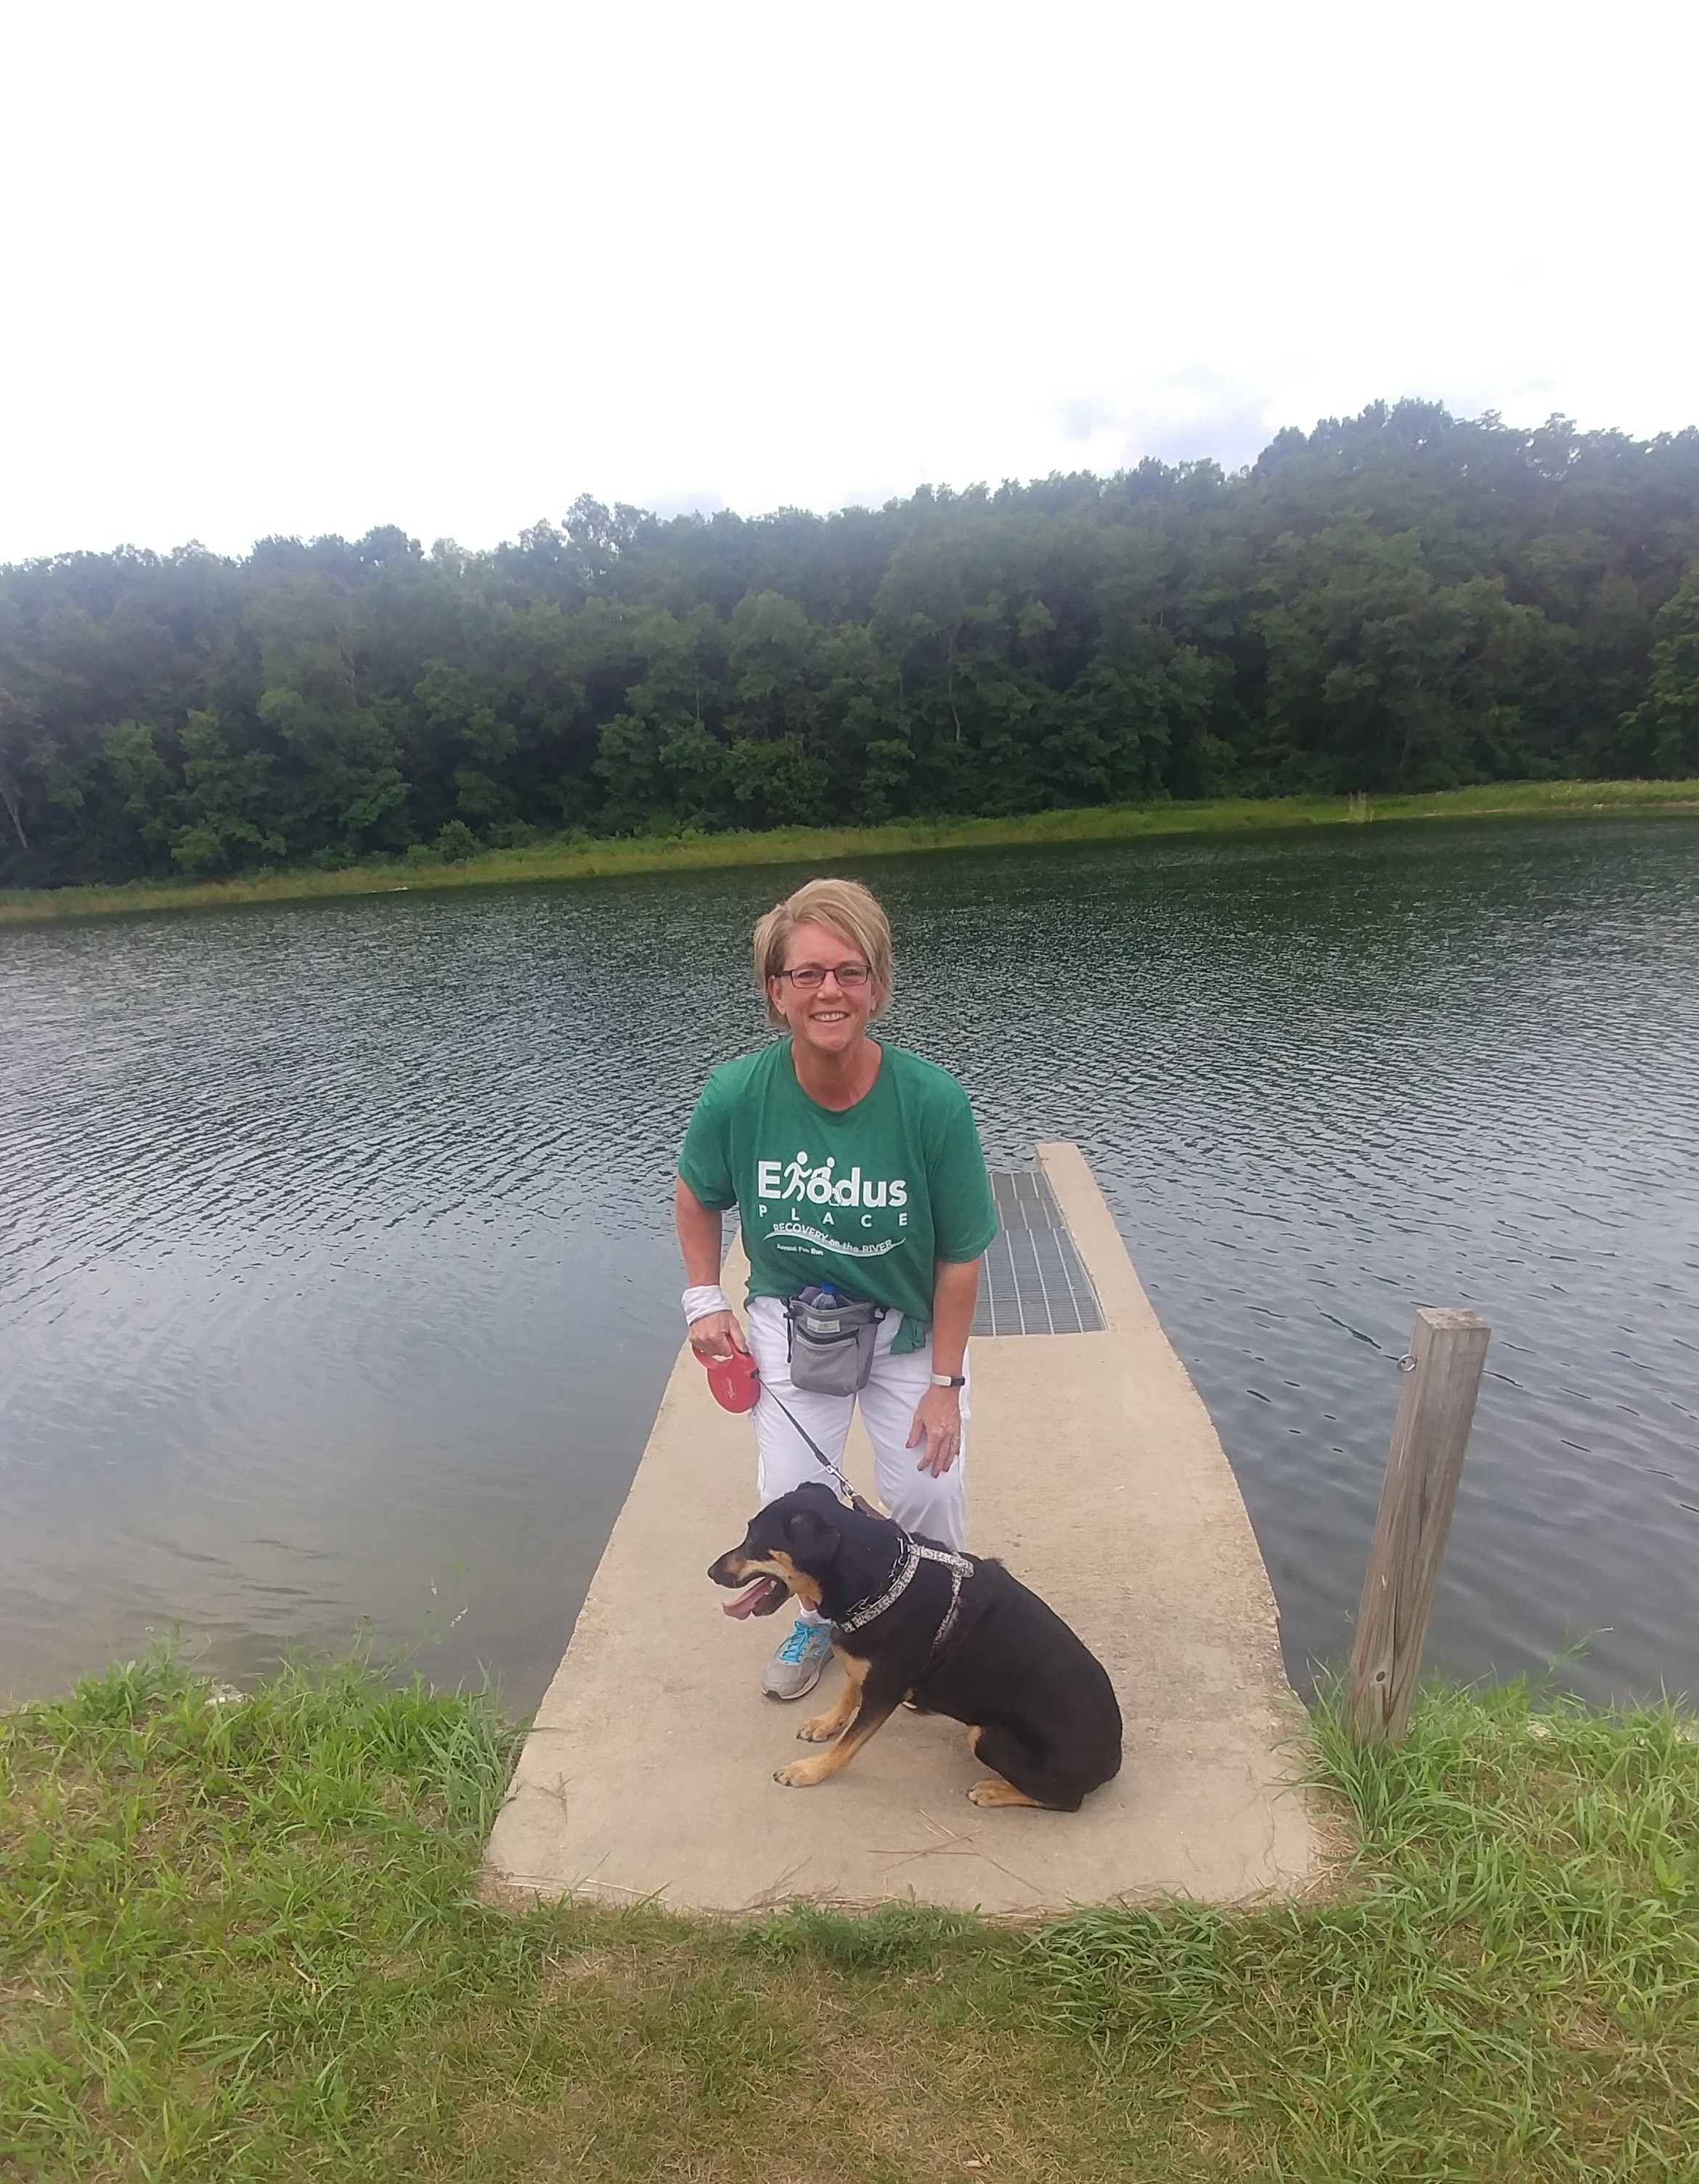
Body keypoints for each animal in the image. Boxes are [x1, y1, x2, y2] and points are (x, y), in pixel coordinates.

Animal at [703, 1485, 1117, 1808]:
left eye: (757, 1541)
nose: (711, 1572)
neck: (882, 1581)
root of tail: (1113, 1762)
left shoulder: (883, 1692)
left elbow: (847, 1746)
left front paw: (808, 1770)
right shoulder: (866, 1661)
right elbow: (849, 1688)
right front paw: (826, 1723)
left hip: (986, 1736)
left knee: (1065, 1800)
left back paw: (995, 1791)